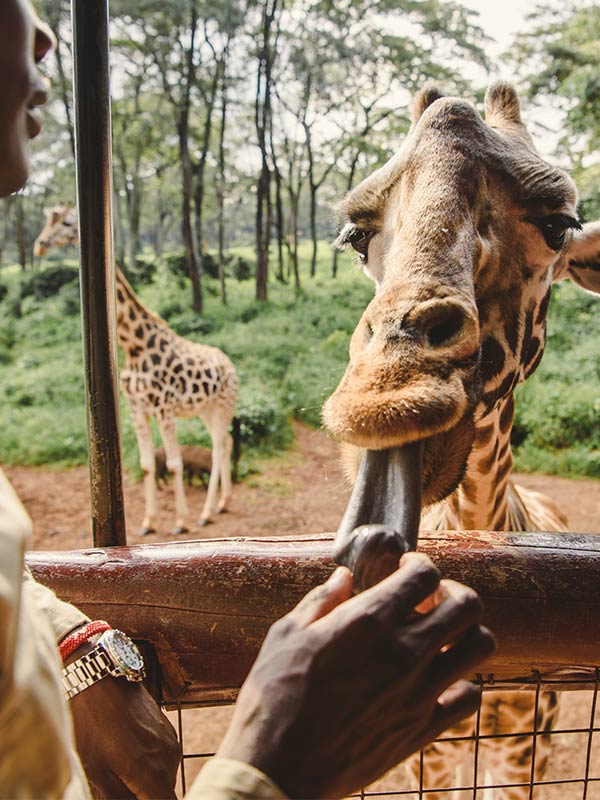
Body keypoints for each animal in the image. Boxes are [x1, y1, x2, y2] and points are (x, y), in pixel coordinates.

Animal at [34, 203, 239, 535]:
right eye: (47, 222)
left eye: (65, 222)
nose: (39, 245)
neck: (134, 346)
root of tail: (230, 365)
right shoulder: (136, 409)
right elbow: (146, 464)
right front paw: (148, 521)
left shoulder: (163, 408)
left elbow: (174, 464)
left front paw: (180, 521)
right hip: (206, 410)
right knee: (225, 442)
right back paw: (223, 502)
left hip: (223, 405)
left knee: (220, 446)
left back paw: (207, 511)